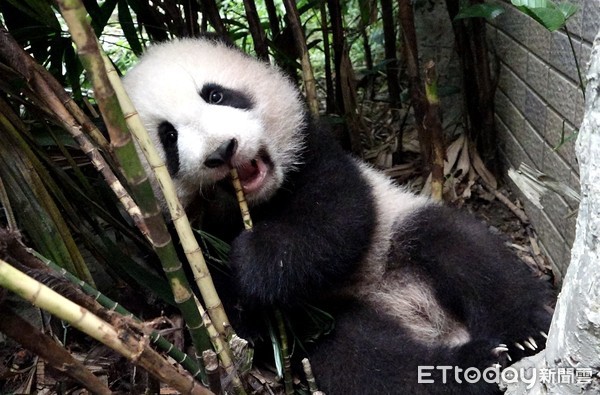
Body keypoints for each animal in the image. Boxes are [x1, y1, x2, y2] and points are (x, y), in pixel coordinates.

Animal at [122, 35, 552, 394]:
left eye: (215, 94)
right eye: (169, 136)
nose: (221, 150)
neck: (261, 202)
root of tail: (428, 320)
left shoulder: (317, 152)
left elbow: (336, 220)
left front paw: (255, 257)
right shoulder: (178, 243)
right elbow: (226, 305)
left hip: (398, 228)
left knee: (464, 251)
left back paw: (521, 334)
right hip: (332, 323)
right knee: (365, 363)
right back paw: (469, 366)